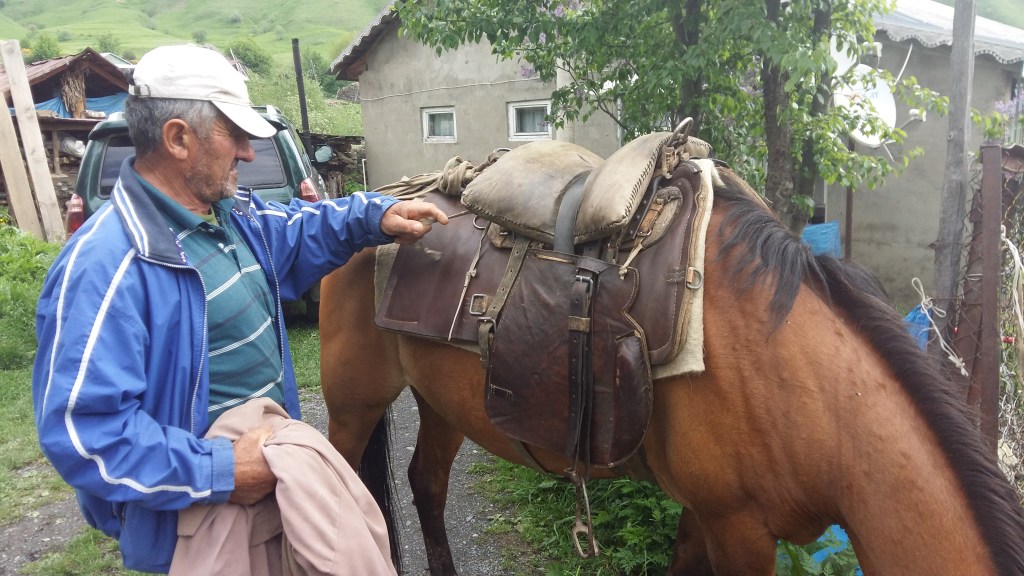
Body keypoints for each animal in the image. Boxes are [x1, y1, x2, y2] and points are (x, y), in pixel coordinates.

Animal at [318, 160, 1024, 575]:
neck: (809, 394)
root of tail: (383, 197)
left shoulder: (706, 511)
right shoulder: (739, 528)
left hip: (441, 401)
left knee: (427, 484)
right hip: (354, 404)